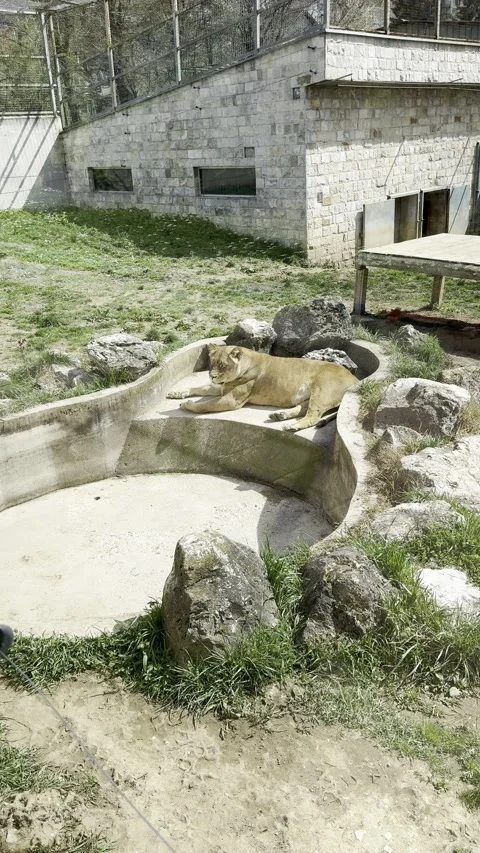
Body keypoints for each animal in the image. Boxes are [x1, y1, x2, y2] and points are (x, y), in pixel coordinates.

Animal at [166, 343, 358, 432]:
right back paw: (280, 415)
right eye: (212, 363)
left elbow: (204, 405)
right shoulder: (220, 388)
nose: (212, 376)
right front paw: (176, 393)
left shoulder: (231, 400)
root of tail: (355, 378)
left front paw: (187, 405)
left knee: (313, 416)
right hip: (309, 396)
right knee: (302, 408)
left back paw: (291, 426)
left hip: (321, 391)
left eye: (222, 365)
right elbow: (196, 387)